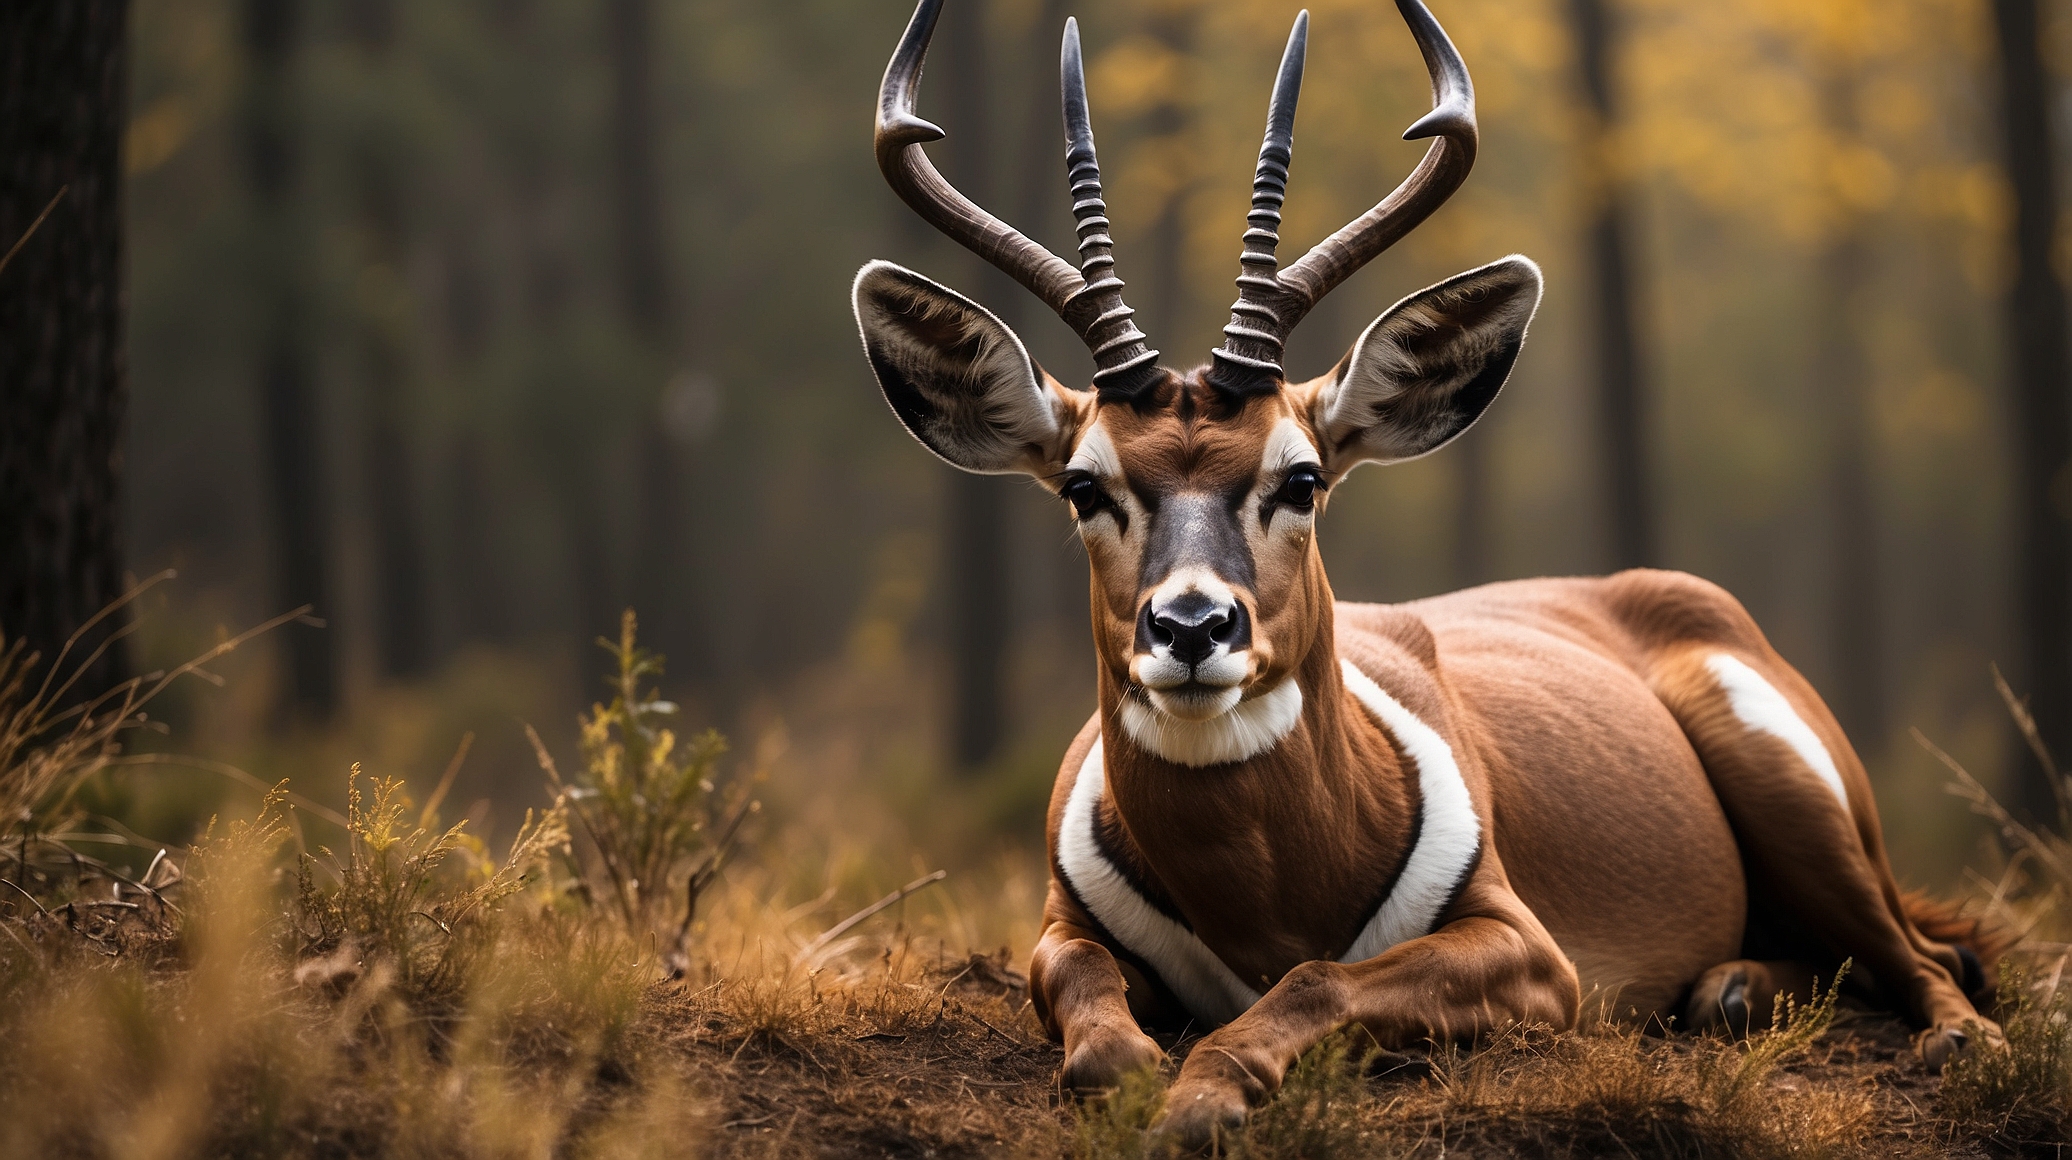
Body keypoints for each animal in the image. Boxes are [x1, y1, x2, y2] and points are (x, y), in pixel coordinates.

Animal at [849, 0, 1997, 1143]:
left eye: (1302, 475)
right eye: (1084, 486)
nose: (1190, 629)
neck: (1266, 896)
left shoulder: (1530, 952)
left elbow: (1319, 979)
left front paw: (1200, 1098)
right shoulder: (1056, 924)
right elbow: (1089, 1003)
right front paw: (1139, 1071)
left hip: (1791, 782)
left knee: (1924, 954)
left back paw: (1954, 1038)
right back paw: (1731, 989)